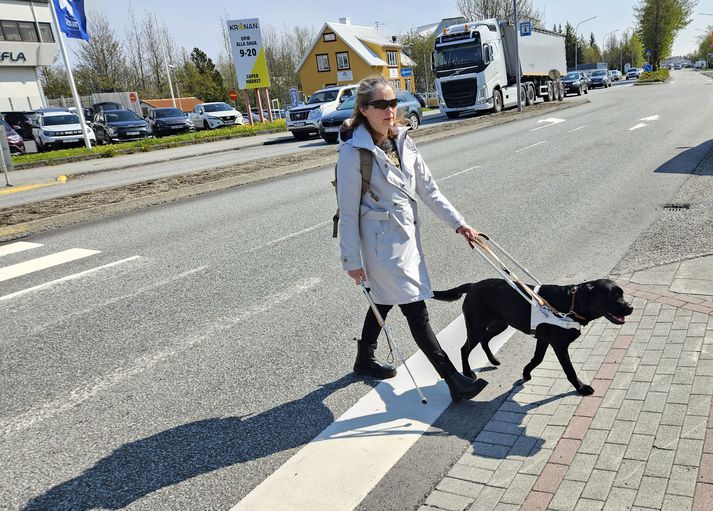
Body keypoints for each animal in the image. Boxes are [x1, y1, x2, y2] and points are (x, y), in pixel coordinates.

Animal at [432, 280, 632, 396]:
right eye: (611, 296)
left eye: (622, 294)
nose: (631, 308)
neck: (571, 304)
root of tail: (473, 285)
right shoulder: (559, 344)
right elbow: (569, 370)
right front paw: (581, 388)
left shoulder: (543, 339)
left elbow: (537, 358)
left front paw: (526, 372)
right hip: (476, 326)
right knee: (464, 348)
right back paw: (468, 373)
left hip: (500, 324)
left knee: (485, 340)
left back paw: (493, 359)